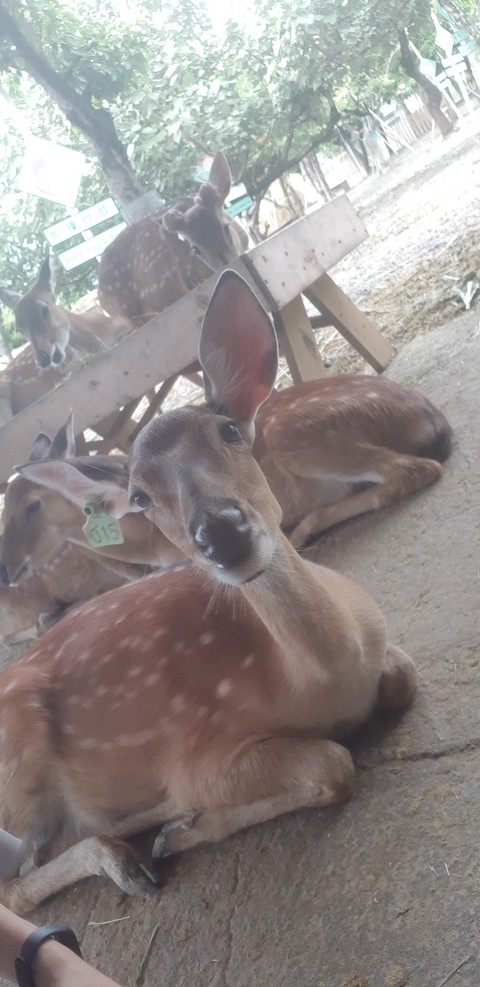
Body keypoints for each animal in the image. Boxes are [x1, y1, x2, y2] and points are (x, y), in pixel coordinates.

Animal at [0, 270, 418, 915]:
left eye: (228, 430)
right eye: (140, 497)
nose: (220, 531)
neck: (323, 677)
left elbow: (403, 678)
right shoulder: (199, 752)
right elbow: (334, 763)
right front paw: (185, 828)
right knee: (15, 889)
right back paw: (134, 851)